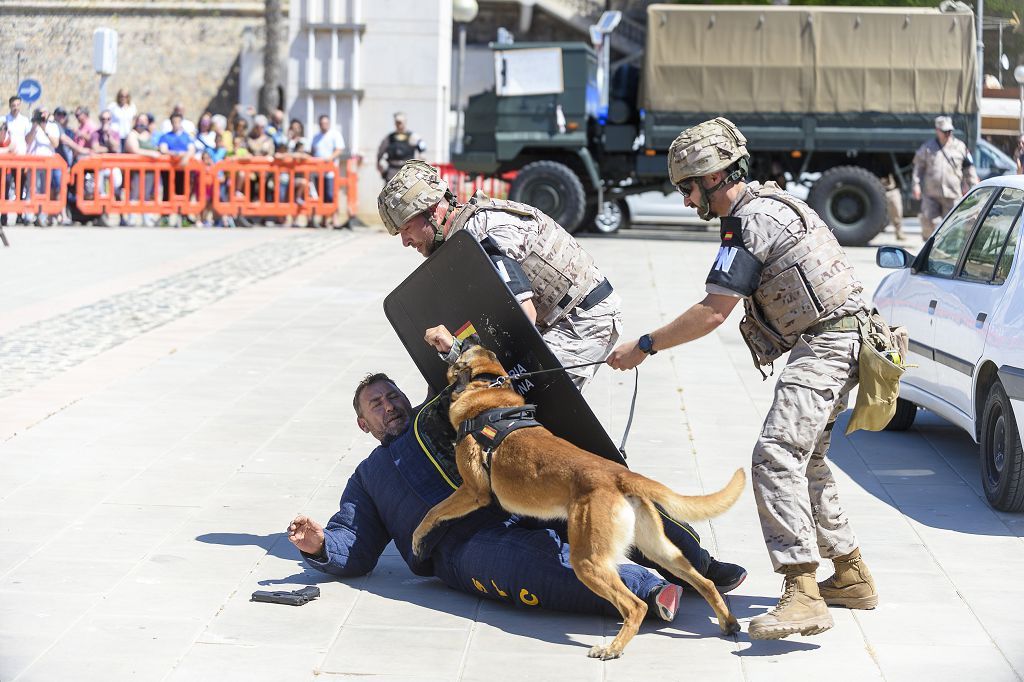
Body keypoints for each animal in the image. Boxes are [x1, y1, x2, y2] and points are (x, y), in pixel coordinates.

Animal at [409, 339, 745, 659]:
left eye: (467, 349)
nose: (467, 337)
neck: (488, 390)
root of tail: (618, 475)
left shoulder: (472, 491)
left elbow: (432, 512)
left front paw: (418, 541)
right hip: (659, 549)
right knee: (704, 582)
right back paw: (728, 622)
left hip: (587, 561)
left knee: (635, 606)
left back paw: (613, 648)